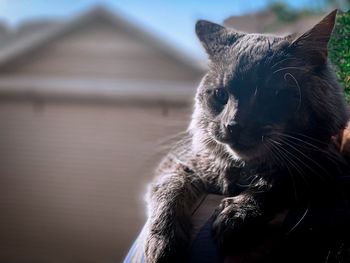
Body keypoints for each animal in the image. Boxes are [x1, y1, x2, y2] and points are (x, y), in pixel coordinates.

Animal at [144, 9, 348, 262]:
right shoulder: (181, 164)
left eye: (271, 95)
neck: (245, 169)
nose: (233, 125)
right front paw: (162, 242)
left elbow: (276, 180)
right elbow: (169, 191)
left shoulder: (324, 167)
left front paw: (237, 212)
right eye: (220, 95)